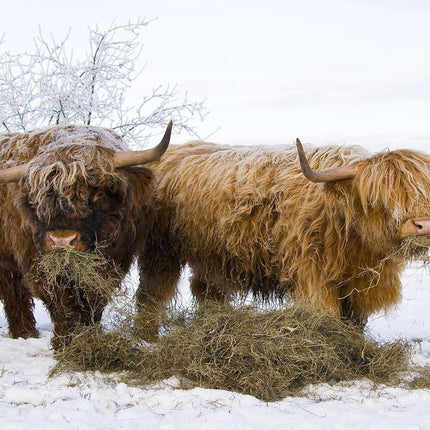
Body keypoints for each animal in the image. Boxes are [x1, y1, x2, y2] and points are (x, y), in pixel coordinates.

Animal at [0, 121, 171, 350]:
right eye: (41, 200)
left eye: (97, 194)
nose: (62, 241)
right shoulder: (38, 263)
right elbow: (63, 304)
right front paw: (64, 343)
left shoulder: (116, 260)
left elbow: (94, 301)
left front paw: (91, 336)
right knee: (14, 296)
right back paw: (25, 333)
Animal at [136, 139, 430, 340]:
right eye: (375, 200)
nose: (422, 225)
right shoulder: (312, 274)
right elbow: (326, 315)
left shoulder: (359, 285)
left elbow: (355, 322)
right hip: (161, 251)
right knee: (153, 293)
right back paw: (146, 338)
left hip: (213, 256)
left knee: (207, 291)